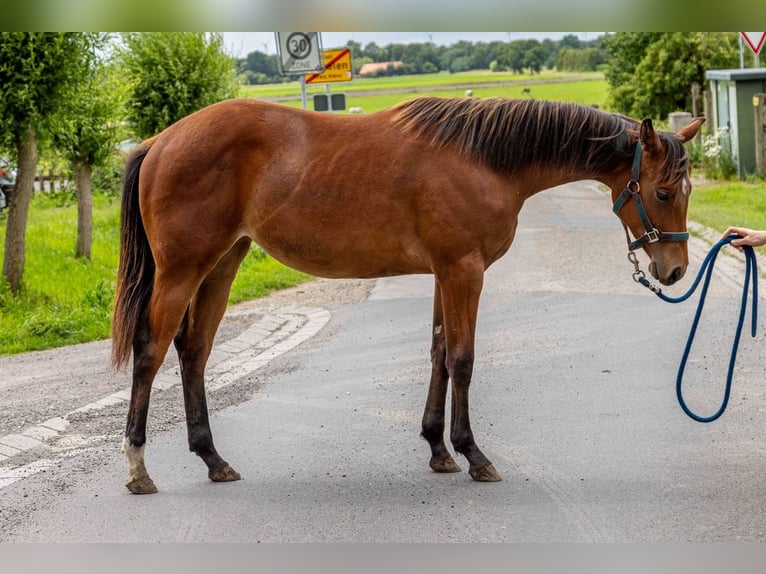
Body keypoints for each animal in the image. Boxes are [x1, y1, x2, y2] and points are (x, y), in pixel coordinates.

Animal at [112, 96, 704, 494]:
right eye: (662, 192)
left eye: (688, 190)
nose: (674, 270)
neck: (484, 159)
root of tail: (160, 141)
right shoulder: (464, 271)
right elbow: (463, 358)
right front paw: (473, 453)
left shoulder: (446, 273)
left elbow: (439, 352)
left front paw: (438, 448)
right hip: (183, 271)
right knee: (151, 351)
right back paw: (138, 467)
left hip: (222, 264)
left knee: (194, 351)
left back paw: (213, 459)